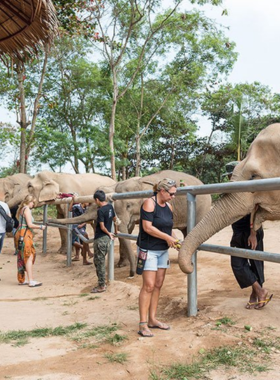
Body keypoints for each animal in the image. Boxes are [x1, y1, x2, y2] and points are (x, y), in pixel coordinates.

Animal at [50, 171, 212, 278]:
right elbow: (127, 230)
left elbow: (128, 229)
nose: (131, 274)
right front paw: (121, 265)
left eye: (128, 205)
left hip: (203, 204)